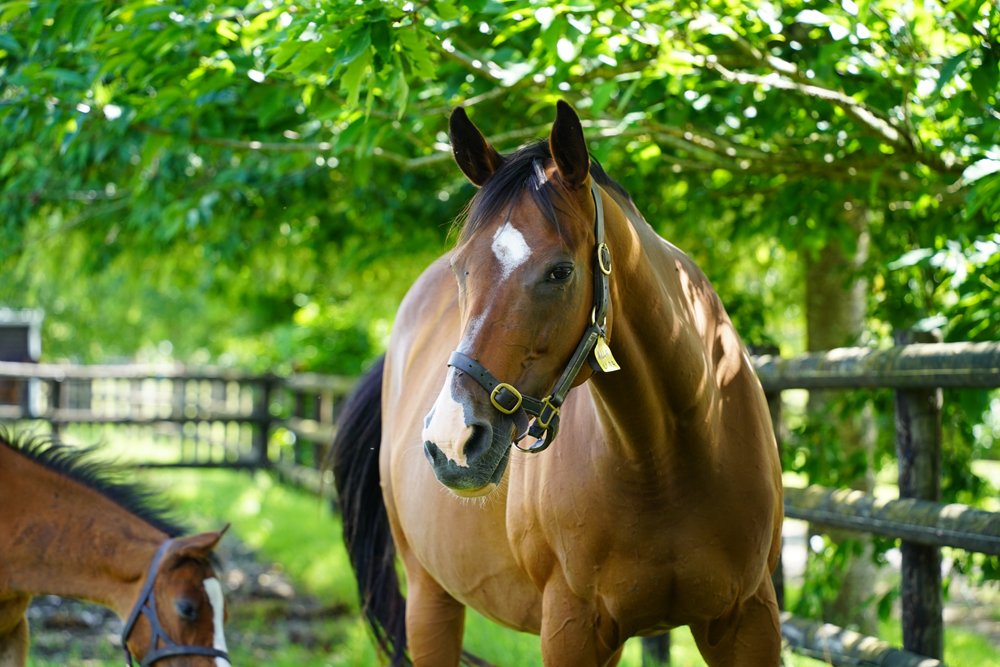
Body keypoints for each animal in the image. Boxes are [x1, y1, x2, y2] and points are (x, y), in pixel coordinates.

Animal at [332, 101, 783, 666]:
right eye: (460, 269)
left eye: (560, 272)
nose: (452, 440)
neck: (671, 456)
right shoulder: (573, 628)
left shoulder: (749, 619)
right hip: (429, 597)